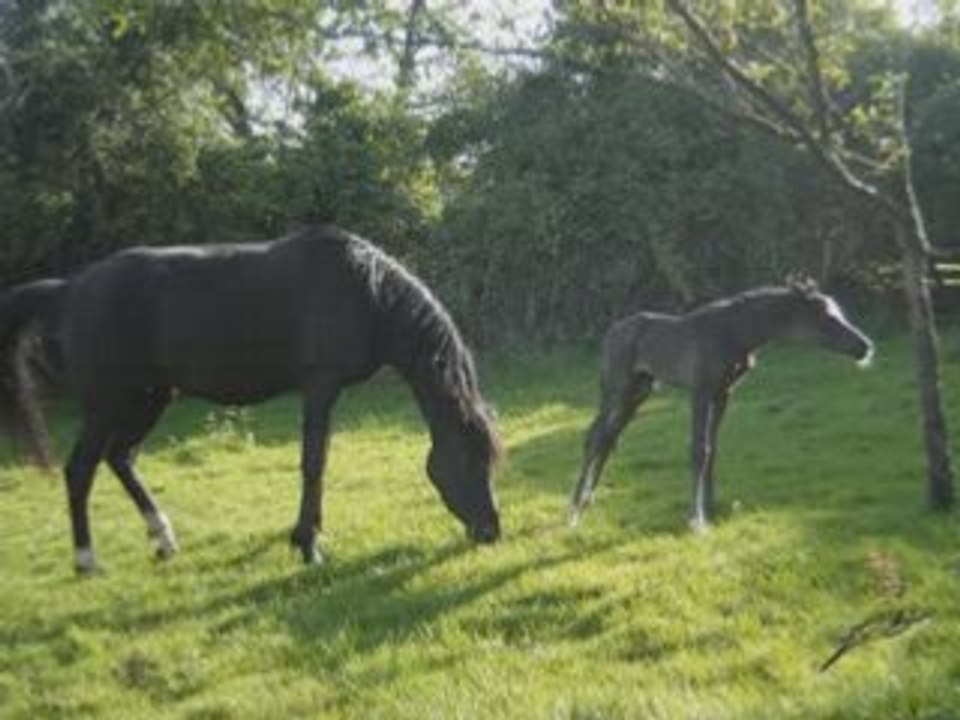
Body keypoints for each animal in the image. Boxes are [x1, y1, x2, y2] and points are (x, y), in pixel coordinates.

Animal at [0, 225, 501, 573]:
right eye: (470, 460)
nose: (491, 531)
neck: (367, 292)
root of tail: (71, 288)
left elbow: (317, 461)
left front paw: (309, 533)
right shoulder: (320, 385)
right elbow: (314, 462)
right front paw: (308, 545)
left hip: (148, 397)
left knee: (119, 458)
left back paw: (163, 539)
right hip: (108, 403)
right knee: (80, 469)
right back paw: (86, 560)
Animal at [568, 276, 874, 531]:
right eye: (825, 317)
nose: (865, 346)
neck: (737, 334)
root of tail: (608, 335)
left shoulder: (723, 393)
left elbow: (712, 449)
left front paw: (711, 508)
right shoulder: (700, 390)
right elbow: (698, 449)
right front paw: (697, 519)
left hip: (639, 392)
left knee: (608, 437)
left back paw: (587, 501)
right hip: (616, 389)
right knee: (594, 436)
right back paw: (572, 511)